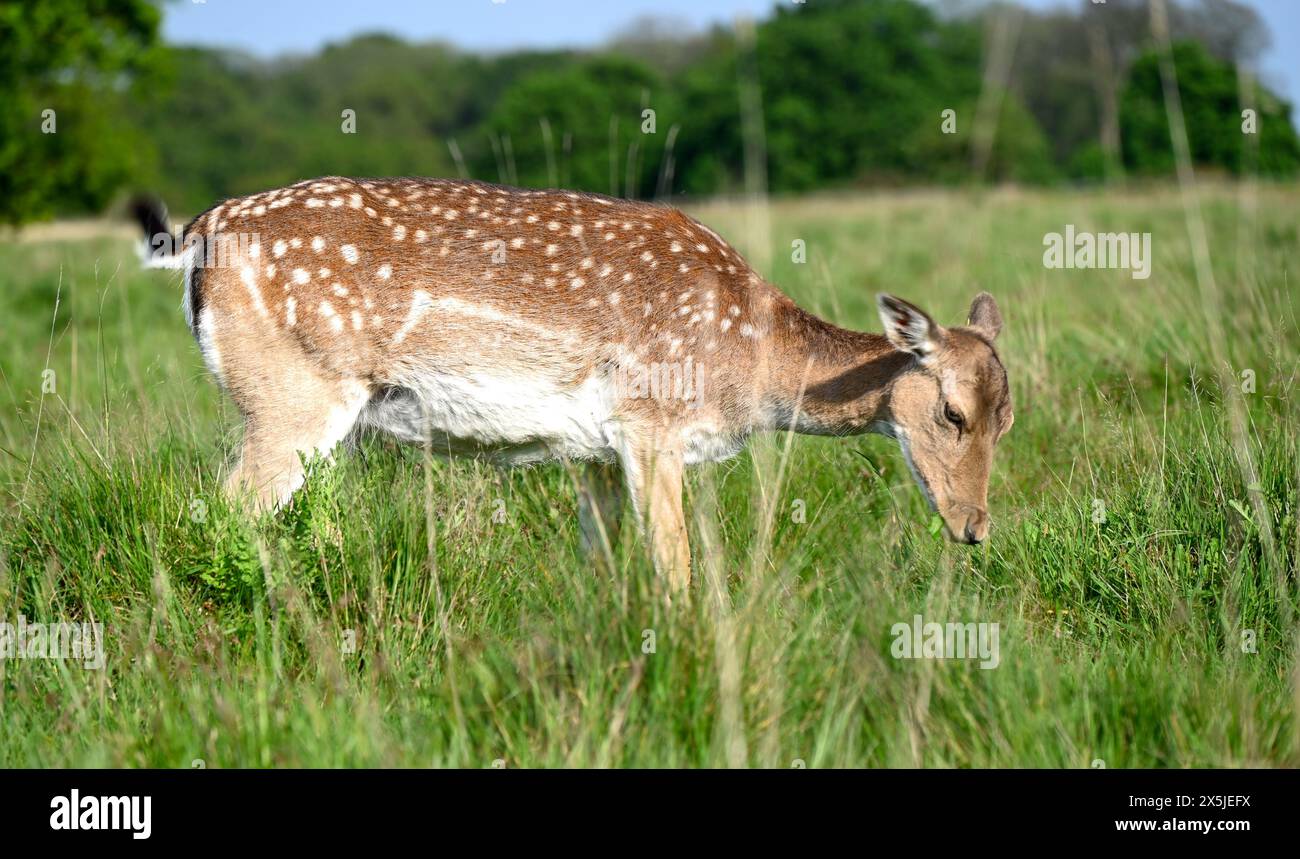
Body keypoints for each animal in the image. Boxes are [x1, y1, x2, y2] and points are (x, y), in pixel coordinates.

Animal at [135, 177, 1013, 594]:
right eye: (951, 412)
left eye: (1008, 420)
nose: (974, 528)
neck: (751, 363)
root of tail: (197, 236)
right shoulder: (652, 425)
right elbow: (675, 570)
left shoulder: (593, 452)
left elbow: (602, 566)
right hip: (294, 394)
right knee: (220, 508)